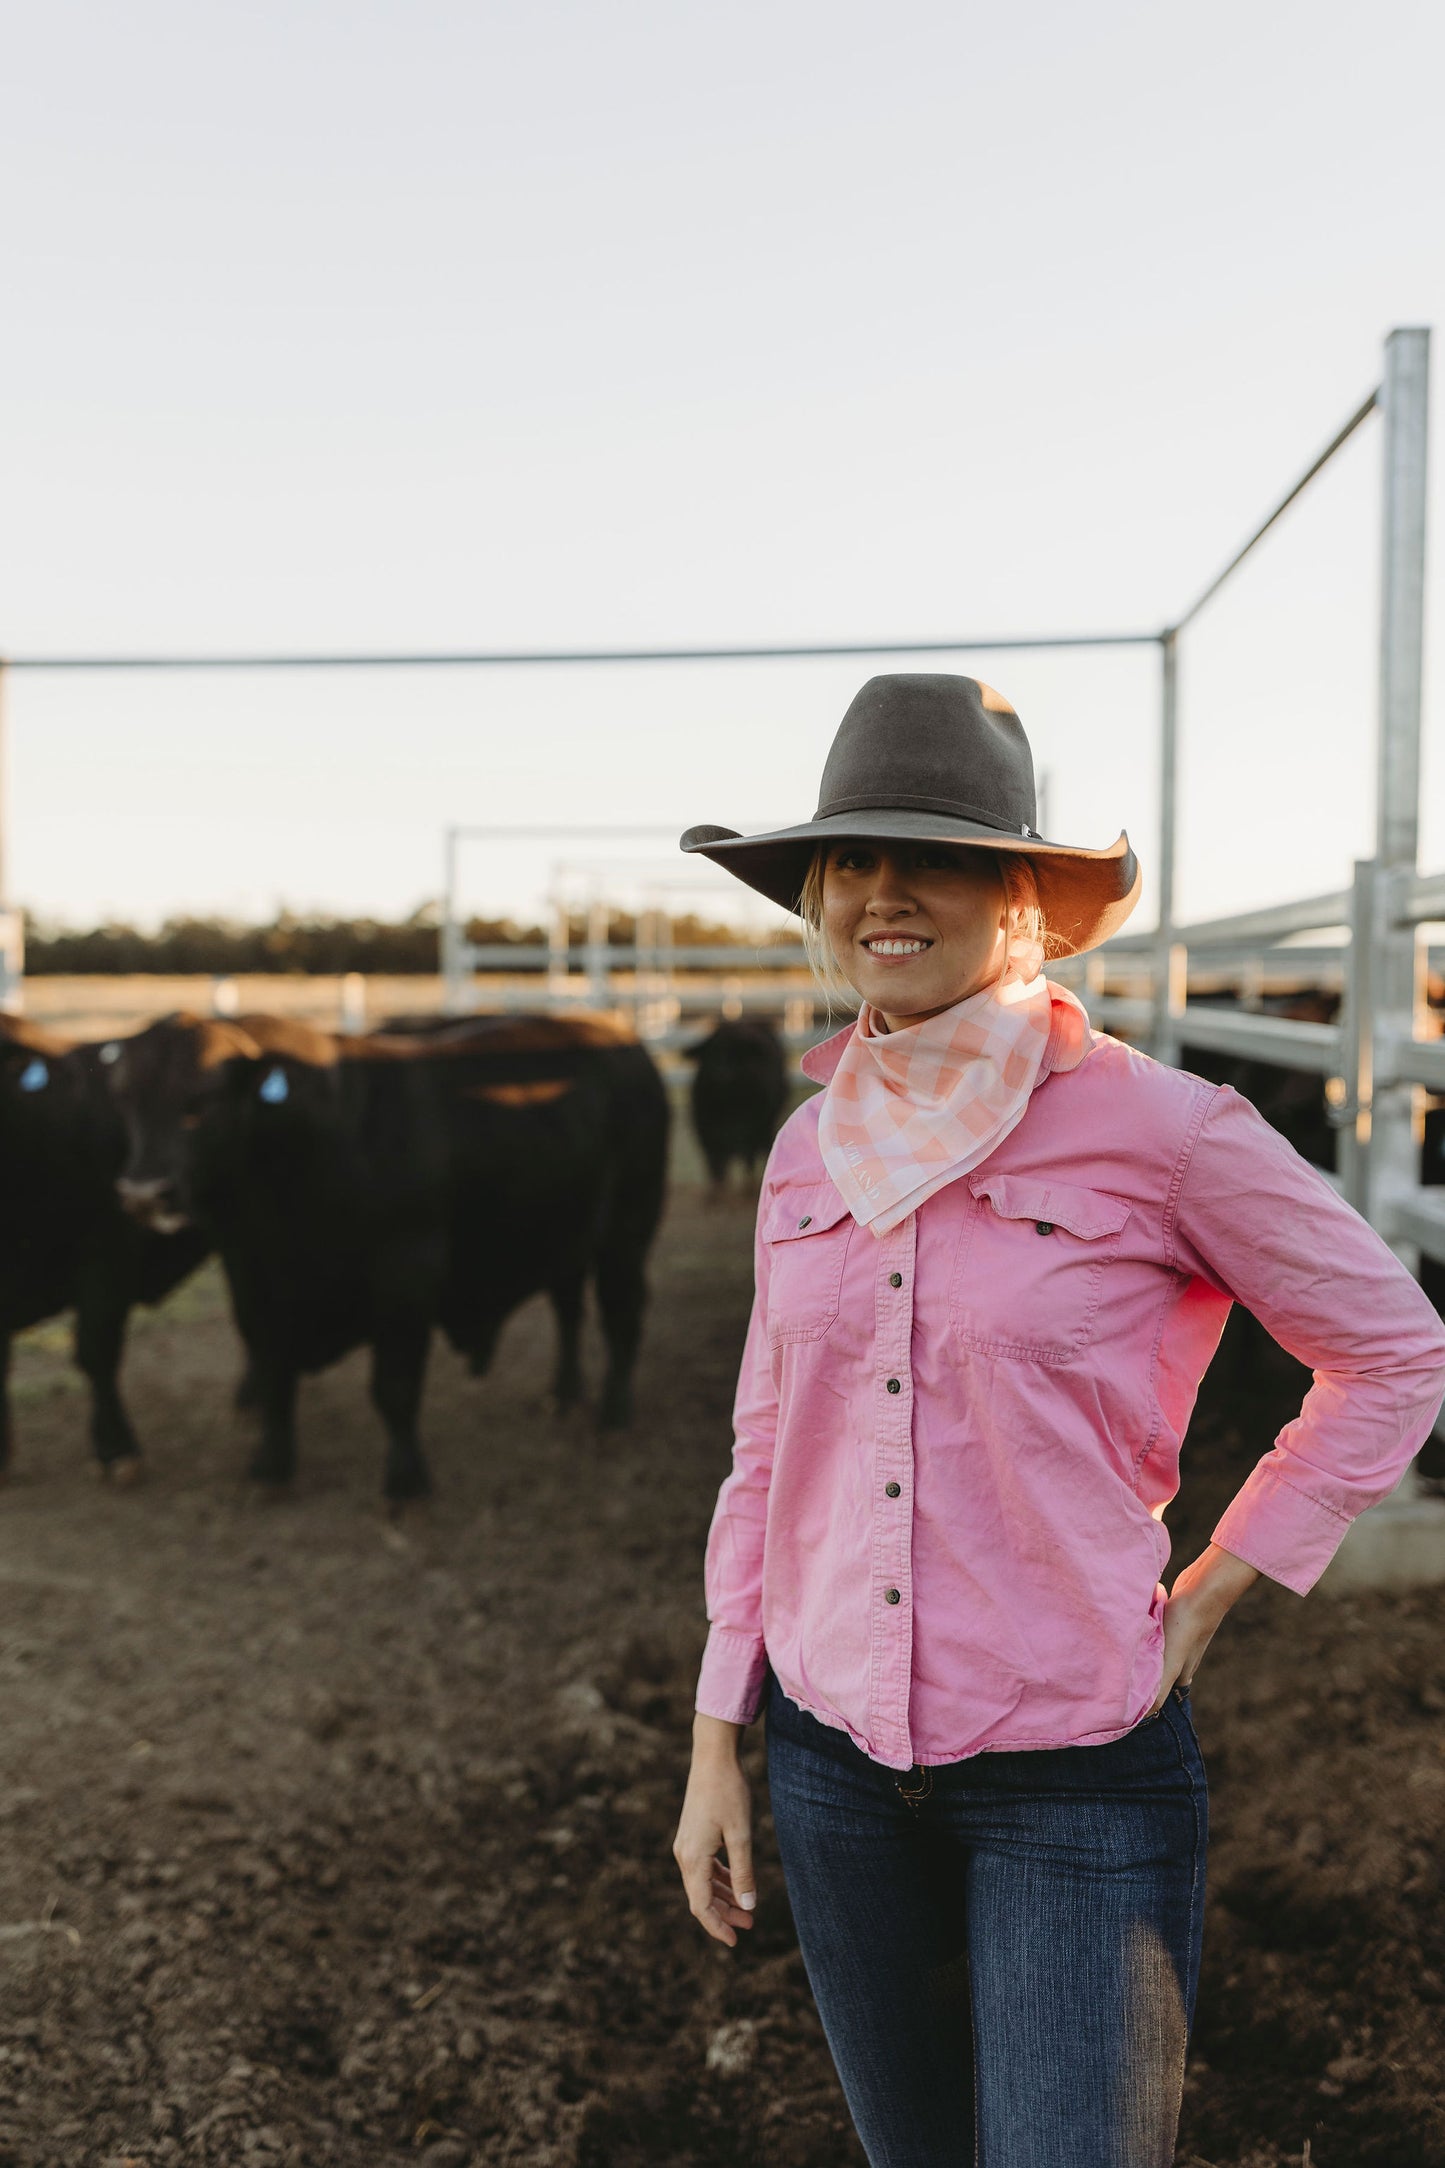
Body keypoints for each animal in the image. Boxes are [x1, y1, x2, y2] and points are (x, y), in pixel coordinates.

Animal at [107, 1010, 671, 1491]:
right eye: (127, 1098)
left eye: (202, 1099)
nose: (143, 1194)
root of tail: (616, 1033)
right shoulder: (251, 1279)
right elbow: (273, 1373)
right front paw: (270, 1465)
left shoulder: (407, 1277)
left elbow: (394, 1386)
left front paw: (406, 1479)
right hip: (567, 1236)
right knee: (569, 1309)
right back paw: (564, 1393)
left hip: (628, 1229)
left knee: (622, 1316)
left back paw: (614, 1415)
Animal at [680, 1018, 784, 1205]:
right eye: (711, 1052)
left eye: (738, 1055)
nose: (722, 1070)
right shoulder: (707, 1137)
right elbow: (715, 1169)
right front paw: (714, 1196)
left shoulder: (751, 1134)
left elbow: (747, 1159)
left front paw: (746, 1190)